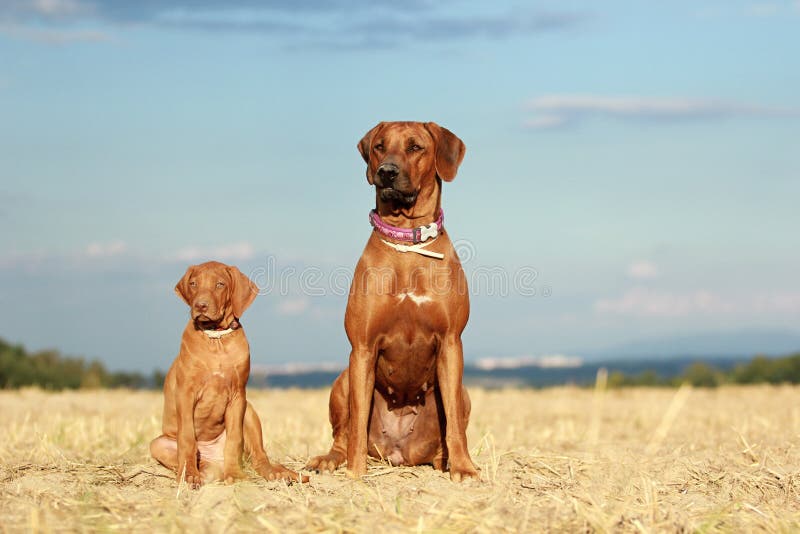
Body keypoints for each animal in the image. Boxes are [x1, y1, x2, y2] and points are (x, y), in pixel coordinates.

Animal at [149, 262, 304, 488]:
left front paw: (236, 475)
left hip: (248, 411)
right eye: (193, 284)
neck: (216, 339)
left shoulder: (238, 396)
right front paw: (189, 476)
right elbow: (186, 438)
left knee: (259, 457)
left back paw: (276, 474)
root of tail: (214, 458)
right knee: (197, 458)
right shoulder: (185, 394)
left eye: (220, 284)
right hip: (158, 443)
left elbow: (234, 440)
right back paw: (206, 471)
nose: (200, 306)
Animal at [306, 123, 478, 484]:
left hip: (464, 393)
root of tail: (399, 452)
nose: (386, 172)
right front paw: (355, 473)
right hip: (342, 380)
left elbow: (455, 423)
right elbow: (357, 422)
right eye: (379, 147)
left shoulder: (451, 342)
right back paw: (330, 460)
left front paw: (464, 468)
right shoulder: (362, 347)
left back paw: (444, 460)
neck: (406, 246)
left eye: (415, 147)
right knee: (343, 434)